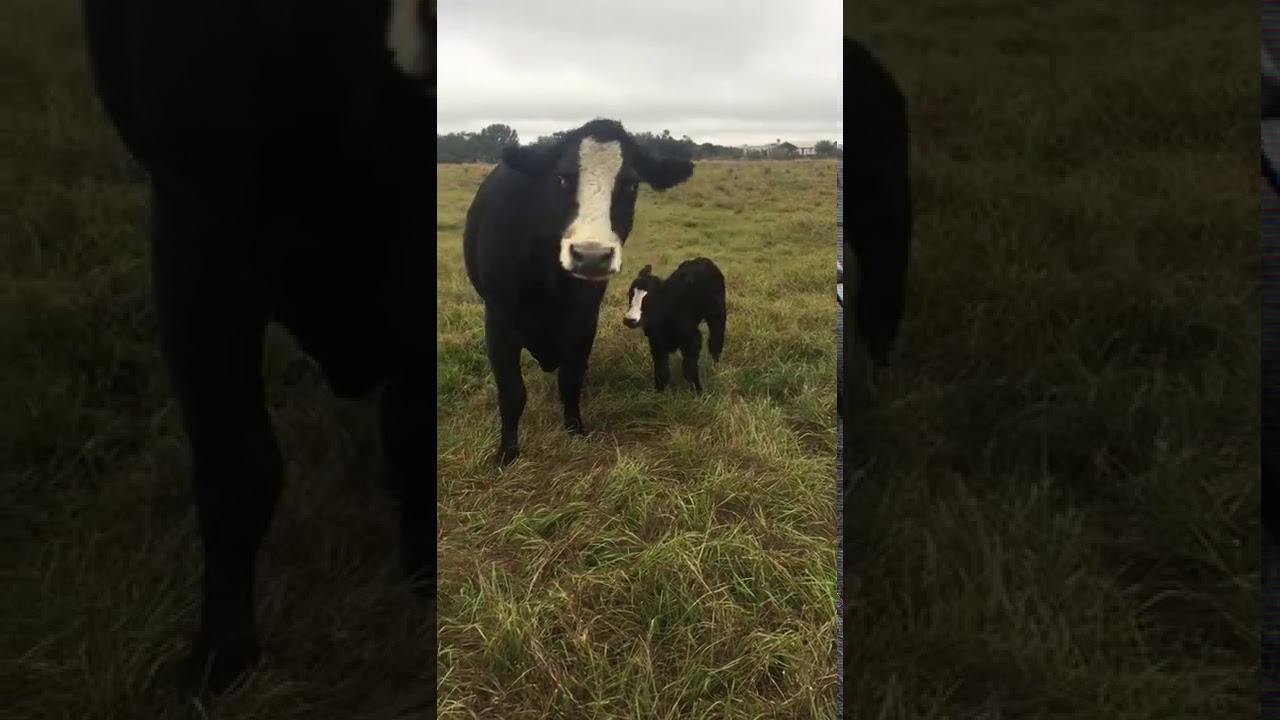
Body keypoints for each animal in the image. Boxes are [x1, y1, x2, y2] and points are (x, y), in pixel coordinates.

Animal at [463, 118, 695, 466]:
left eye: (630, 185)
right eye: (562, 178)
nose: (591, 256)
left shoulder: (585, 319)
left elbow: (571, 379)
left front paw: (575, 430)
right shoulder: (498, 318)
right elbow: (512, 391)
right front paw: (507, 453)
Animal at [621, 258, 727, 394]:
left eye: (650, 298)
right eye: (630, 294)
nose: (629, 320)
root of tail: (703, 260)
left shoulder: (692, 340)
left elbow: (689, 370)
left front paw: (699, 391)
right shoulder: (656, 343)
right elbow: (661, 371)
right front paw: (659, 393)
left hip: (717, 312)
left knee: (716, 339)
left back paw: (715, 366)